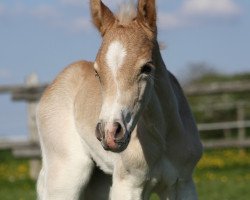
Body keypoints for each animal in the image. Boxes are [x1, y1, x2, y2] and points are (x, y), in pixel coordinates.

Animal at [36, 0, 202, 200]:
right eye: (97, 72)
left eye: (146, 68)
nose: (109, 133)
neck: (162, 138)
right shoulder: (127, 185)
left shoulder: (183, 184)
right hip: (66, 175)